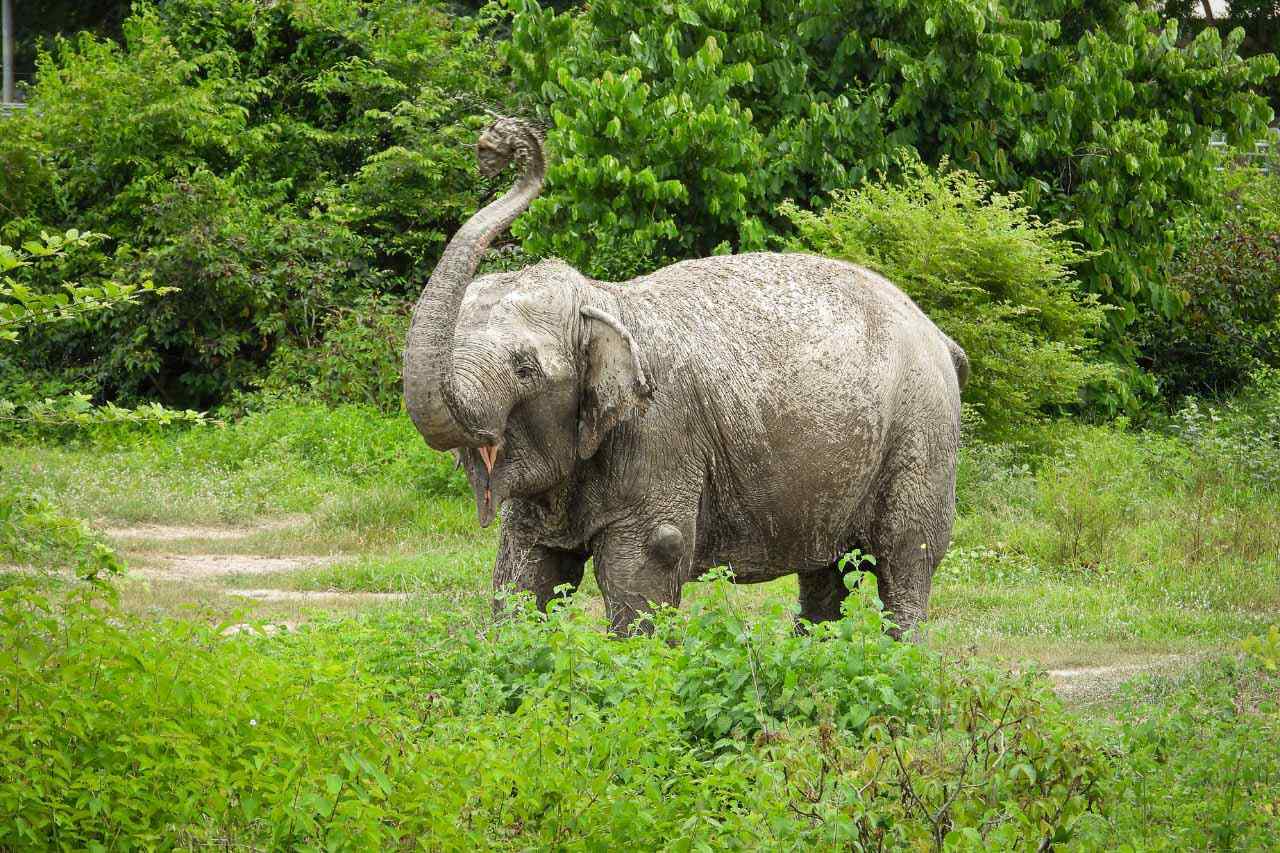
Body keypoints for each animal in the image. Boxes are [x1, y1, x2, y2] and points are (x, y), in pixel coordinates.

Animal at [403, 116, 968, 636]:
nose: (495, 146)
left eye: (524, 368)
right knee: (825, 570)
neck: (605, 300)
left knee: (906, 553)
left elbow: (646, 563)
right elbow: (522, 567)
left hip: (922, 434)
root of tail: (939, 336)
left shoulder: (660, 435)